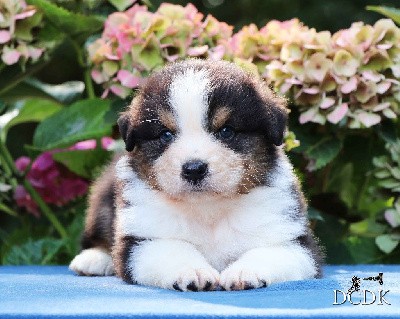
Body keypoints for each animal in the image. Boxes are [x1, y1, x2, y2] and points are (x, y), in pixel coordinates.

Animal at [70, 59, 324, 292]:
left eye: (226, 131)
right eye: (165, 134)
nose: (194, 169)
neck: (208, 209)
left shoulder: (293, 241)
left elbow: (268, 252)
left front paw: (244, 272)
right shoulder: (142, 239)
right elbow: (172, 250)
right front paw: (193, 272)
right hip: (103, 201)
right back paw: (93, 259)